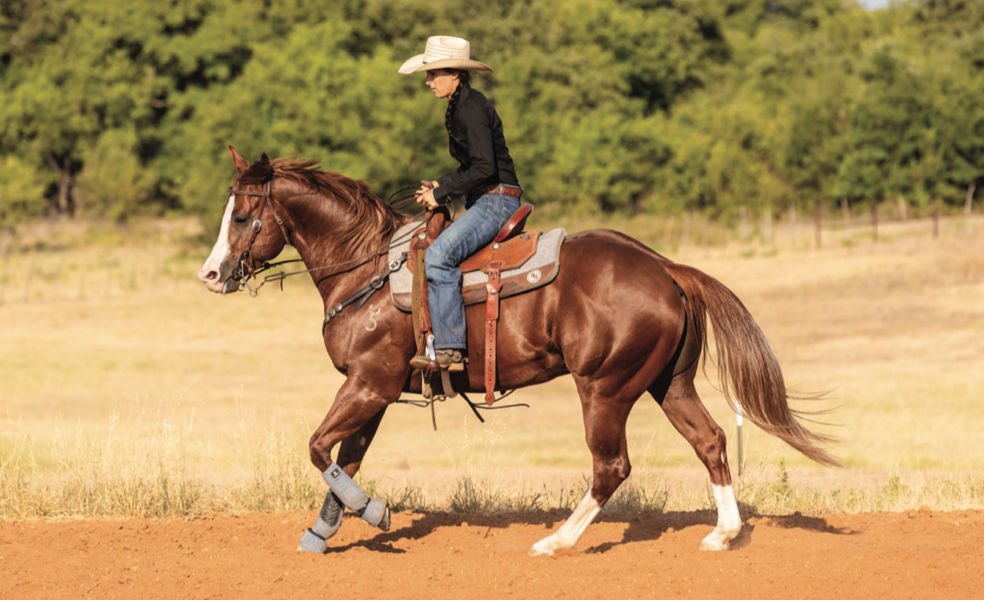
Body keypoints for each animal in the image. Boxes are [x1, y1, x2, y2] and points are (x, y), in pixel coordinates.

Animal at [199, 147, 837, 556]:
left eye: (245, 215)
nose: (211, 274)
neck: (369, 271)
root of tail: (664, 266)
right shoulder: (374, 391)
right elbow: (343, 458)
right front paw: (322, 533)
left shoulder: (367, 384)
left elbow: (318, 449)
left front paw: (373, 511)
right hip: (668, 385)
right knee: (711, 441)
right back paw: (723, 534)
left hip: (604, 389)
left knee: (611, 466)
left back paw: (557, 540)